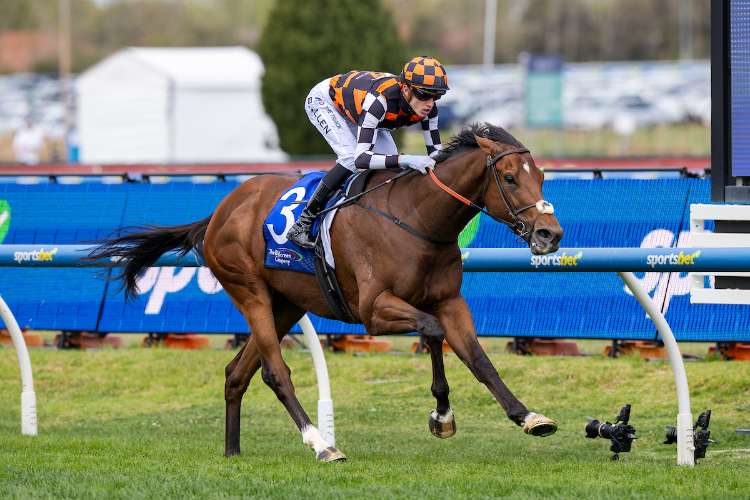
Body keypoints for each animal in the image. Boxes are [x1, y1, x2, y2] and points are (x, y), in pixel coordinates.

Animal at [89, 123, 563, 463]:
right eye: (508, 178)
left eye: (540, 176)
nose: (550, 233)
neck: (417, 218)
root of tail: (220, 210)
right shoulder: (375, 310)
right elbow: (431, 332)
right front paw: (442, 415)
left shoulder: (450, 301)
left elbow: (478, 358)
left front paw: (528, 416)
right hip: (250, 292)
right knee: (275, 372)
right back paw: (321, 444)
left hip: (285, 304)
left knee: (237, 373)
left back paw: (232, 450)